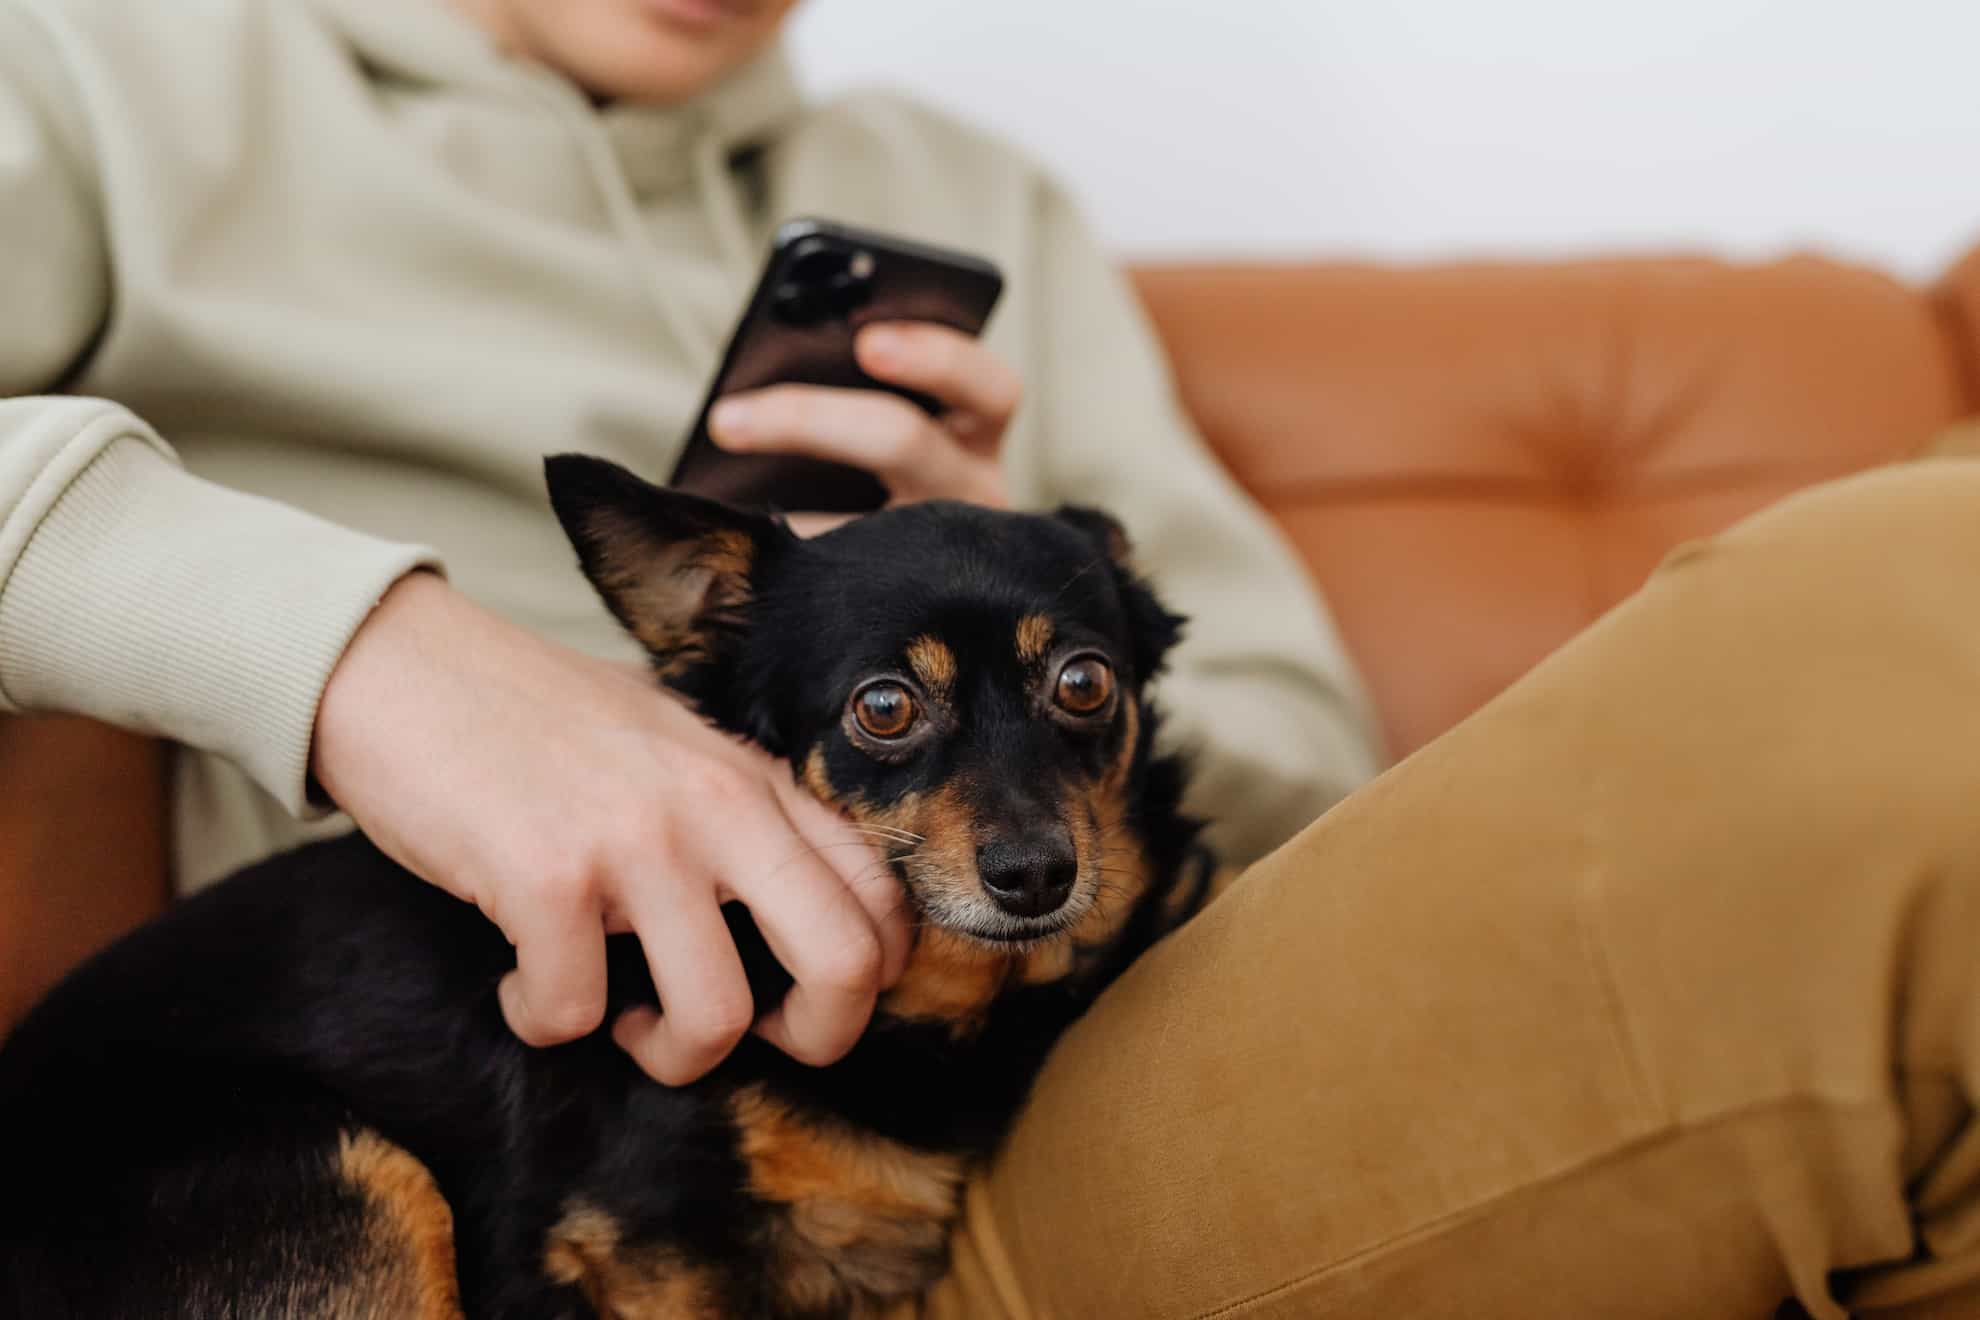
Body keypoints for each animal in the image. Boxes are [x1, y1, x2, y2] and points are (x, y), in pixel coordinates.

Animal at [0, 457, 1211, 1320]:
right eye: (883, 707)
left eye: (1086, 683)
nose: (1037, 873)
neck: (946, 1006)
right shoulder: (653, 1254)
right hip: (350, 1178)